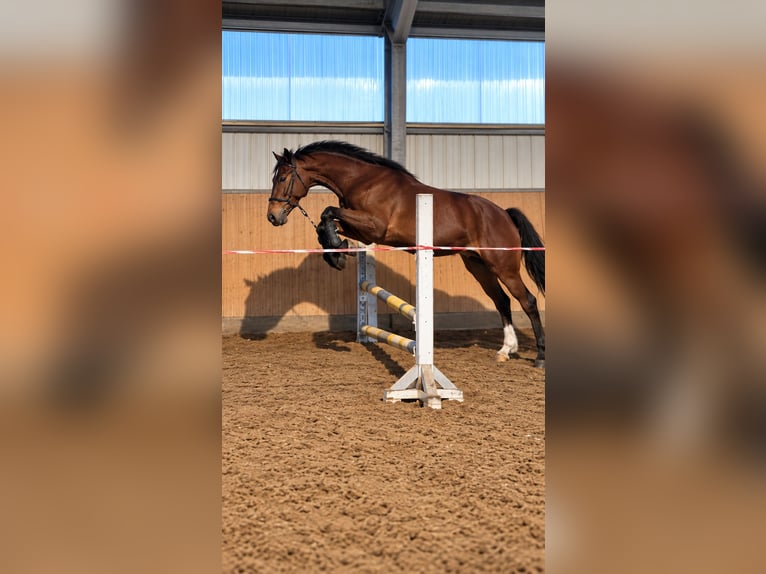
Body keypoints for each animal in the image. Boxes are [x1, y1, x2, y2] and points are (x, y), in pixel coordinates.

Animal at [266, 140, 546, 368]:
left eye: (282, 179)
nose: (273, 217)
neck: (363, 181)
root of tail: (504, 214)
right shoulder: (364, 232)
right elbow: (325, 223)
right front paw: (337, 252)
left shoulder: (374, 227)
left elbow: (327, 212)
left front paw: (337, 251)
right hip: (478, 265)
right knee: (502, 301)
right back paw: (505, 350)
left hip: (504, 267)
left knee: (528, 301)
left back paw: (540, 357)